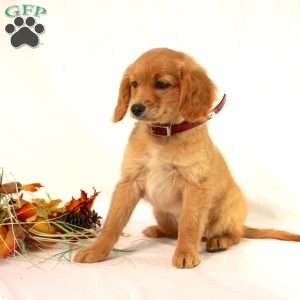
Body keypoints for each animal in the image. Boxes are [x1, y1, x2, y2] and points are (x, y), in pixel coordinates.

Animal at [74, 48, 300, 268]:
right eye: (134, 84)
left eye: (162, 84)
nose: (135, 108)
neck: (163, 134)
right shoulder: (129, 182)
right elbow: (113, 222)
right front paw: (95, 250)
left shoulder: (194, 186)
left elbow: (189, 224)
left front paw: (185, 253)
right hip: (161, 212)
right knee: (173, 231)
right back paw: (157, 230)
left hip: (226, 214)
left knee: (235, 235)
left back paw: (219, 241)